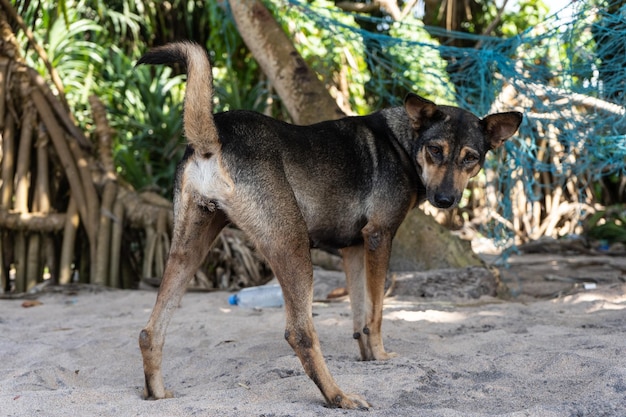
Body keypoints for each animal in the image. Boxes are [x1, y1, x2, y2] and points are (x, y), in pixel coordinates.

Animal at [135, 41, 520, 406]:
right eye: (435, 150)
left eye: (471, 158)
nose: (444, 200)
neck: (403, 141)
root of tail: (215, 134)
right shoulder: (380, 237)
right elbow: (376, 314)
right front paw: (381, 357)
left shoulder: (354, 248)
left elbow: (360, 316)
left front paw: (367, 358)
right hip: (292, 245)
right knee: (299, 333)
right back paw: (338, 396)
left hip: (189, 249)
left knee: (150, 330)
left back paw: (157, 393)